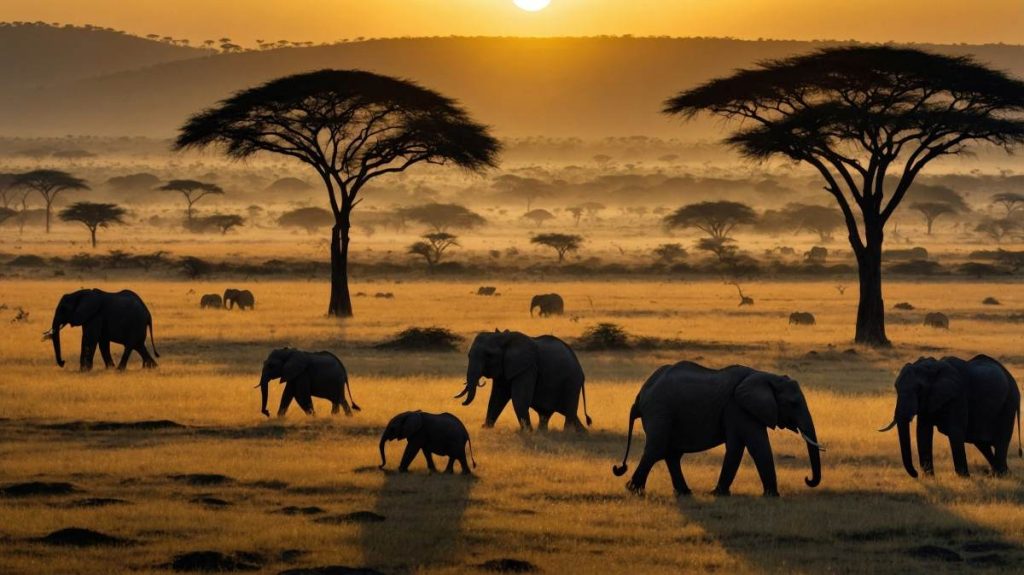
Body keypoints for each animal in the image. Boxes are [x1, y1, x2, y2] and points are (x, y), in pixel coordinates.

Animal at [457, 330, 591, 431]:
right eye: (468, 355)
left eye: (489, 355)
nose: (462, 403)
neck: (504, 338)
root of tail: (581, 371)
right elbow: (497, 397)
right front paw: (486, 428)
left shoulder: (527, 367)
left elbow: (519, 399)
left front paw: (527, 432)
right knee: (554, 414)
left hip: (572, 382)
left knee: (568, 412)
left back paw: (567, 433)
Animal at [612, 361, 823, 497]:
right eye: (793, 404)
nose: (807, 479)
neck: (765, 375)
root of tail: (639, 396)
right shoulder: (737, 408)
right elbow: (755, 445)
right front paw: (771, 496)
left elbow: (740, 446)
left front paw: (719, 493)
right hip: (659, 410)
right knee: (657, 448)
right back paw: (634, 490)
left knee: (671, 454)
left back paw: (684, 492)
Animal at [878, 355, 1022, 478]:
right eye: (896, 387)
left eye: (919, 389)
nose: (916, 474)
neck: (933, 368)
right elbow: (923, 432)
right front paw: (929, 478)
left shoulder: (958, 396)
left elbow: (955, 432)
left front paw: (964, 478)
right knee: (980, 442)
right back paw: (999, 474)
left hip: (1009, 403)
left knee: (1001, 441)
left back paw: (1000, 474)